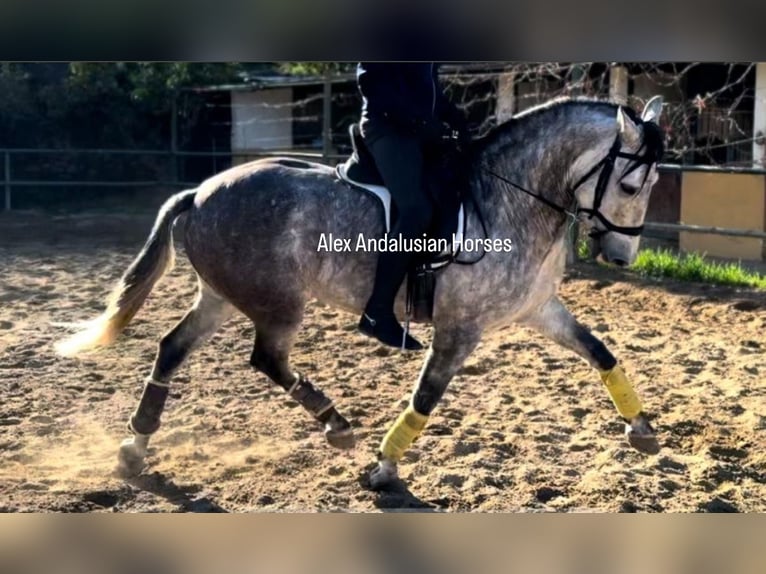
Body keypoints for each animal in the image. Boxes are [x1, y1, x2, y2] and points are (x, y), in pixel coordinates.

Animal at [57, 95, 664, 490]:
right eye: (631, 183)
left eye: (652, 184)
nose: (620, 258)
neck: (509, 198)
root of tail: (202, 191)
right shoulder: (459, 329)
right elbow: (426, 397)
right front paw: (383, 468)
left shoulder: (540, 310)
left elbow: (601, 353)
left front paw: (641, 430)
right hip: (278, 304)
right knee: (267, 358)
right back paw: (336, 424)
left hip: (221, 297)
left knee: (172, 348)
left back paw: (134, 448)